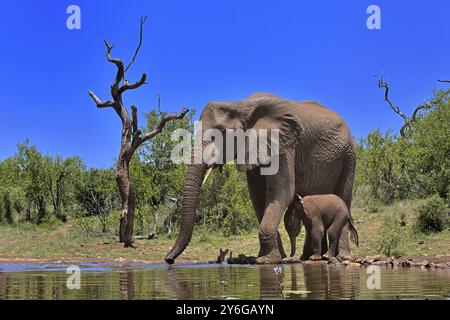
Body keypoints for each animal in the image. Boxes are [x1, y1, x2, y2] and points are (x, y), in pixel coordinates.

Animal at [164, 93, 356, 264]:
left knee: (343, 198)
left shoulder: (284, 145)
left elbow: (282, 193)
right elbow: (257, 198)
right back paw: (312, 257)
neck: (241, 105)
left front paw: (266, 260)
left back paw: (341, 257)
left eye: (222, 132)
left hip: (348, 156)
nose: (169, 260)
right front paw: (274, 257)